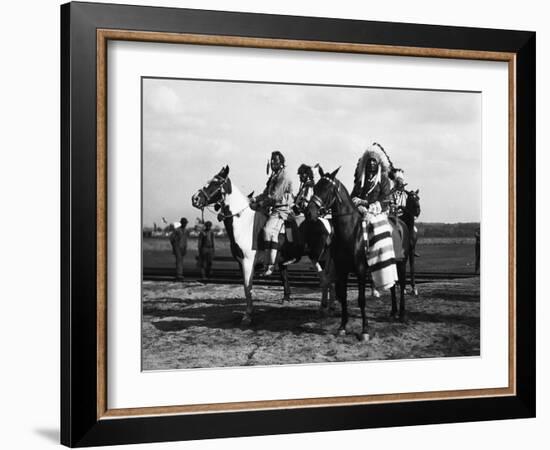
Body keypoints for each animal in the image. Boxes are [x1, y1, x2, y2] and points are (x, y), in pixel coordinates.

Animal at [308, 169, 412, 342]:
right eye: (315, 187)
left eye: (327, 189)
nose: (309, 213)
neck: (350, 231)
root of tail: (401, 224)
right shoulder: (342, 271)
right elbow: (343, 297)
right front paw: (342, 327)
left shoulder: (361, 271)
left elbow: (361, 300)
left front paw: (365, 330)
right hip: (389, 263)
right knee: (392, 287)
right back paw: (393, 312)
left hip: (402, 263)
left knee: (402, 284)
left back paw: (402, 314)